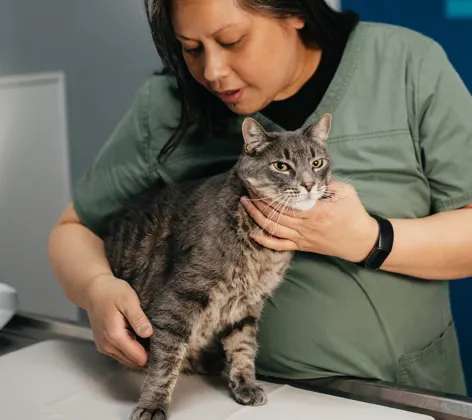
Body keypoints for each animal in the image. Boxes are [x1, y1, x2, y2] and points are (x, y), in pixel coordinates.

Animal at [103, 113, 332, 418]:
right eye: (281, 166)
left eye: (317, 163)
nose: (309, 185)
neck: (263, 252)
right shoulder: (179, 298)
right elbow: (165, 361)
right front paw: (152, 404)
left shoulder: (246, 305)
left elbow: (244, 347)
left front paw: (245, 384)